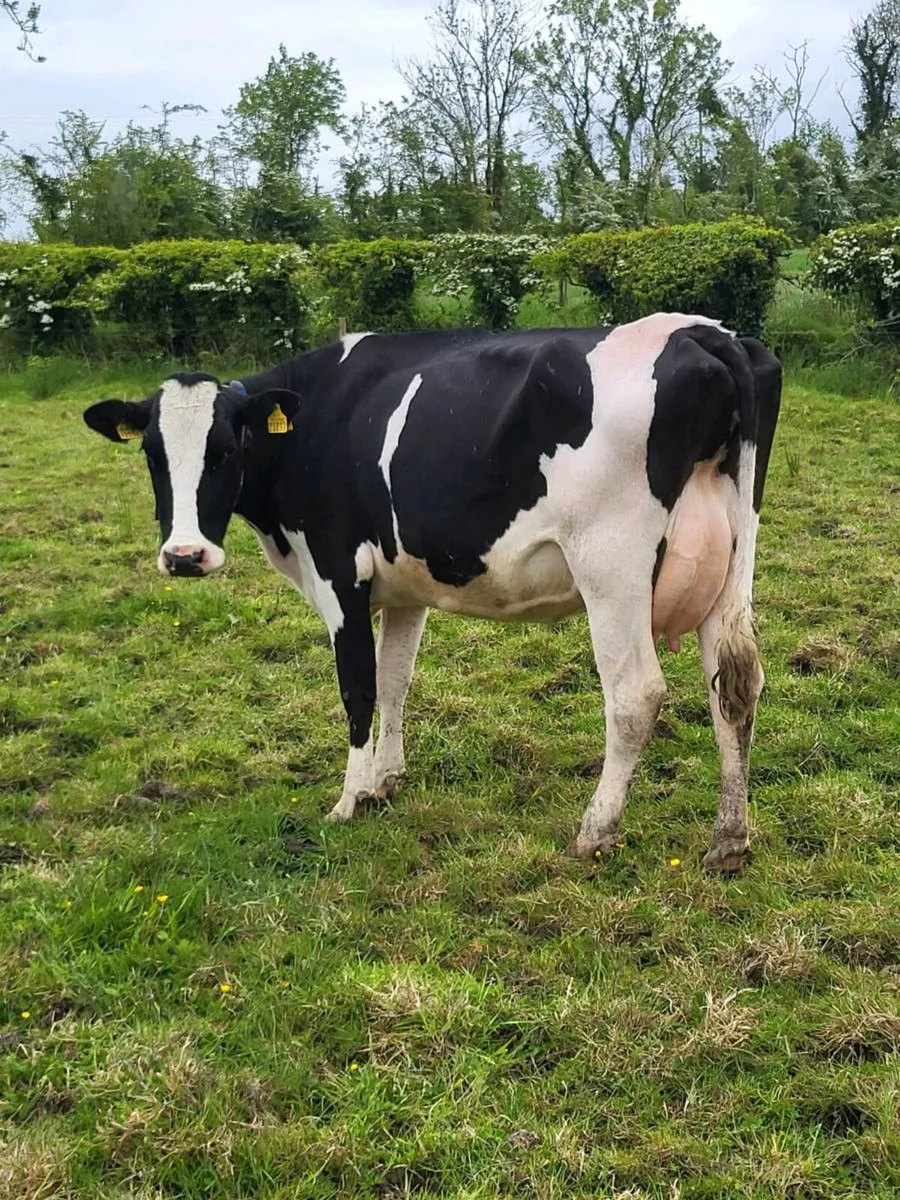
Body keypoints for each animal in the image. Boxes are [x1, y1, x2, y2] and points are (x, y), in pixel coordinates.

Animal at [83, 314, 782, 871]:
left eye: (228, 450)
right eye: (151, 456)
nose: (185, 556)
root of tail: (707, 334)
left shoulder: (339, 574)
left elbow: (358, 687)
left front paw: (349, 800)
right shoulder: (403, 588)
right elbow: (396, 679)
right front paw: (387, 780)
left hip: (611, 567)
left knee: (637, 695)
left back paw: (596, 830)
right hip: (732, 556)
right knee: (734, 683)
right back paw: (729, 840)